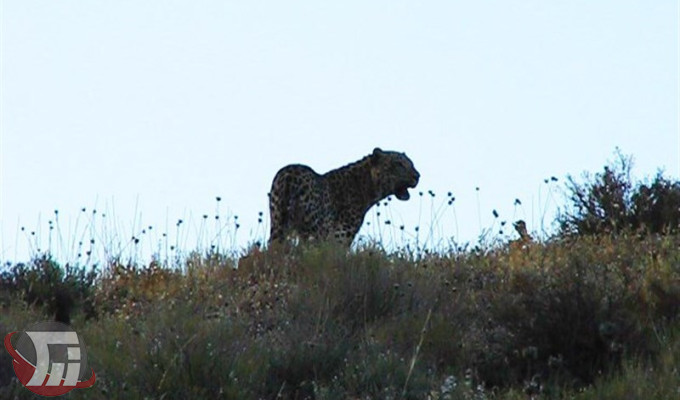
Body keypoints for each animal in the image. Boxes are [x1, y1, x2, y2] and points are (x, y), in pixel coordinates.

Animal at [266, 148, 418, 247]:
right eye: (398, 164)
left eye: (411, 163)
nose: (417, 176)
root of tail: (289, 174)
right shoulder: (340, 237)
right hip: (315, 232)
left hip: (277, 224)